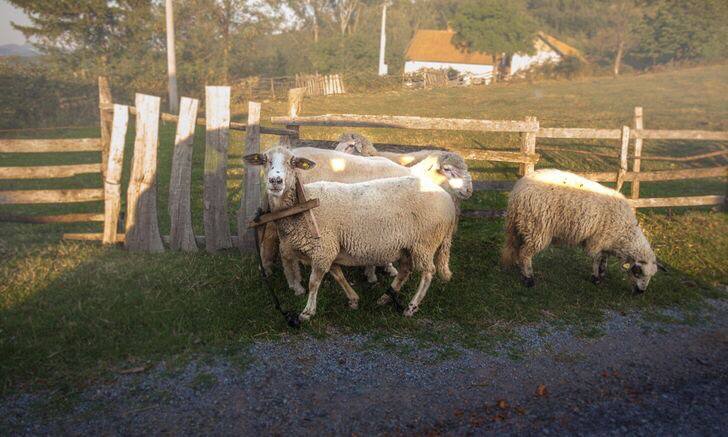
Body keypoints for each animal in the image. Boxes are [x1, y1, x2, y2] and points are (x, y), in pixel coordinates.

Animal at [246, 145, 460, 318]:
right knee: (405, 270)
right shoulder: (329, 249)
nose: (275, 181)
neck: (300, 207)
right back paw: (386, 297)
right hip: (409, 245)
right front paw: (353, 299)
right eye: (264, 160)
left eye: (292, 163)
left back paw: (411, 307)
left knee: (428, 272)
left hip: (425, 243)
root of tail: (448, 202)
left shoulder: (323, 248)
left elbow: (314, 282)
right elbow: (338, 275)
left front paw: (307, 311)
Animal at [500, 169, 664, 292]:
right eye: (637, 272)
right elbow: (596, 258)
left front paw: (602, 273)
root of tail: (518, 191)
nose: (641, 291)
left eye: (651, 276)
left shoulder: (606, 243)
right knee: (525, 253)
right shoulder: (597, 241)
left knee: (518, 248)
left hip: (522, 226)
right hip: (537, 228)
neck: (624, 232)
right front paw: (595, 278)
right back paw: (528, 278)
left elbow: (604, 259)